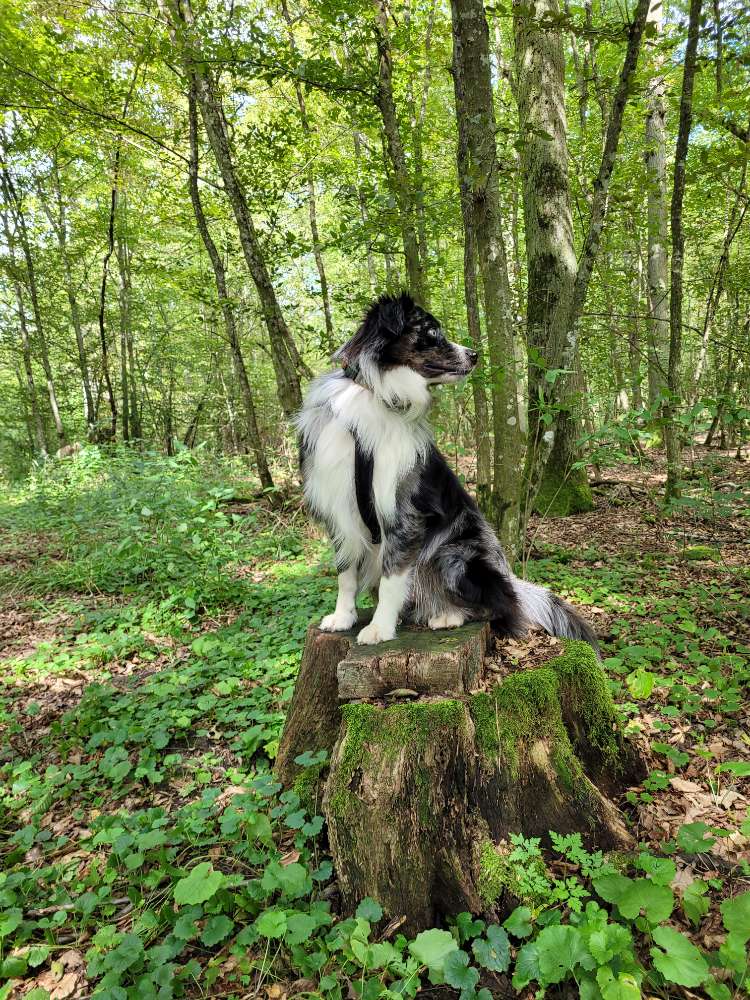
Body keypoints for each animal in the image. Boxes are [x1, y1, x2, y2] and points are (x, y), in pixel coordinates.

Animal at [296, 292, 596, 648]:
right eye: (432, 332)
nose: (475, 355)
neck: (373, 392)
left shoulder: (403, 513)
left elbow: (391, 577)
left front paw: (380, 628)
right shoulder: (339, 509)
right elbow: (345, 574)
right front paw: (343, 617)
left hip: (457, 556)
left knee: (500, 608)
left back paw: (449, 615)